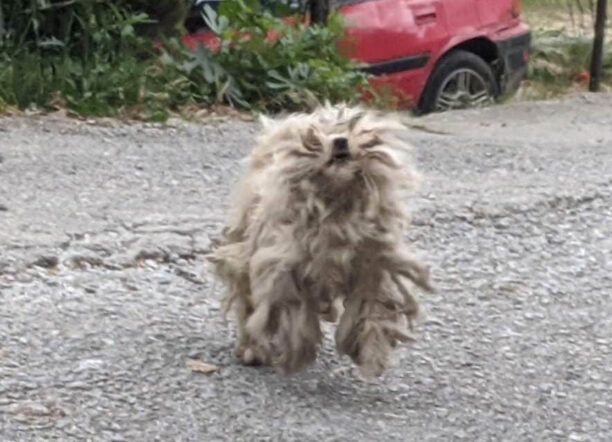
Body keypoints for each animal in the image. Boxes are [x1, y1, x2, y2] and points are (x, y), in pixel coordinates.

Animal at [209, 104, 432, 377]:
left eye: (351, 129)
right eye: (319, 135)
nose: (340, 141)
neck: (336, 205)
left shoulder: (373, 266)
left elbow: (372, 309)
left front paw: (372, 352)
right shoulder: (284, 268)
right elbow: (294, 312)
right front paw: (298, 349)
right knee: (248, 304)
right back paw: (253, 349)